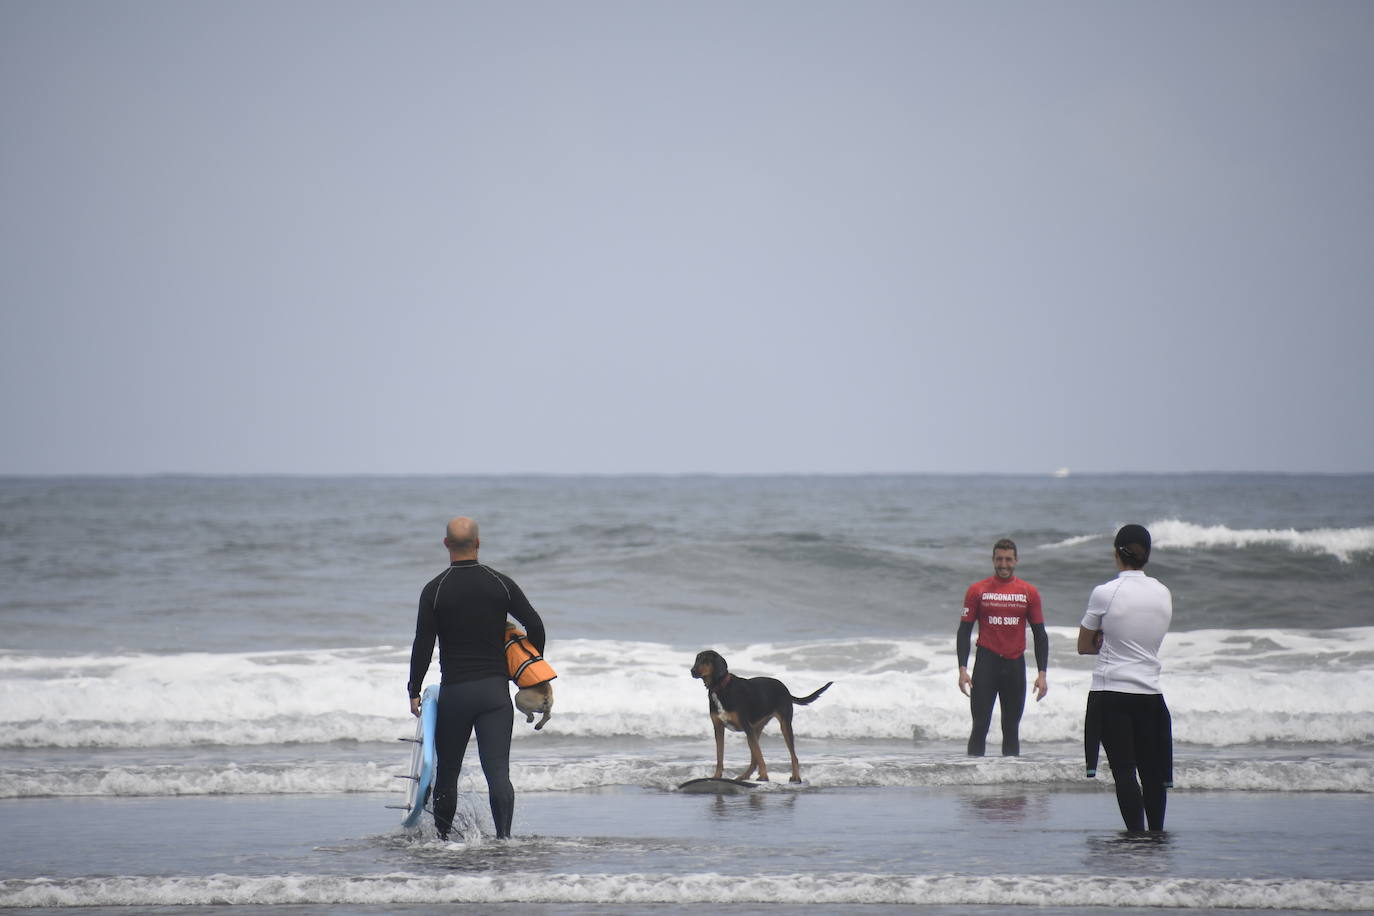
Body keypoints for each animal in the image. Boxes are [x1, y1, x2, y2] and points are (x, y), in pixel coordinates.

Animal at [692, 648, 829, 785]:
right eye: (697, 659)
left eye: (706, 660)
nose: (692, 671)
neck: (720, 688)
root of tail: (786, 689)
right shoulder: (718, 728)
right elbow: (720, 756)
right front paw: (716, 776)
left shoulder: (746, 727)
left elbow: (759, 754)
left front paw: (764, 776)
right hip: (755, 730)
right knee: (754, 759)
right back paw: (744, 776)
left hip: (783, 726)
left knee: (792, 756)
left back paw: (796, 777)